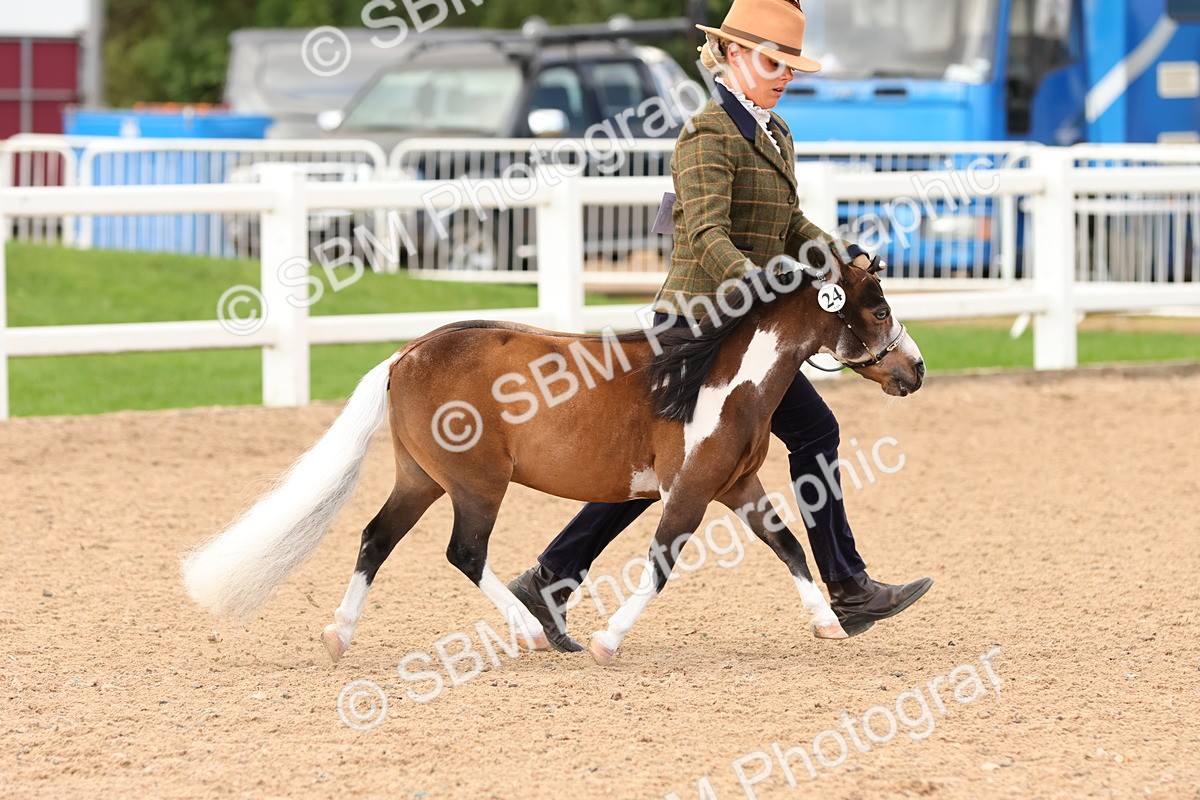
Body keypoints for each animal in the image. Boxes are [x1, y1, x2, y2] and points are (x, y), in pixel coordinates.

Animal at [181, 260, 924, 666]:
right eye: (878, 308)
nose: (914, 370)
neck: (716, 378)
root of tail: (406, 354)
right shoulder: (688, 490)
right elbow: (661, 565)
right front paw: (607, 642)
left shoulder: (736, 484)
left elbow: (788, 545)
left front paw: (829, 622)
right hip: (477, 485)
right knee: (464, 553)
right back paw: (531, 630)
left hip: (421, 480)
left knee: (375, 538)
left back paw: (339, 635)